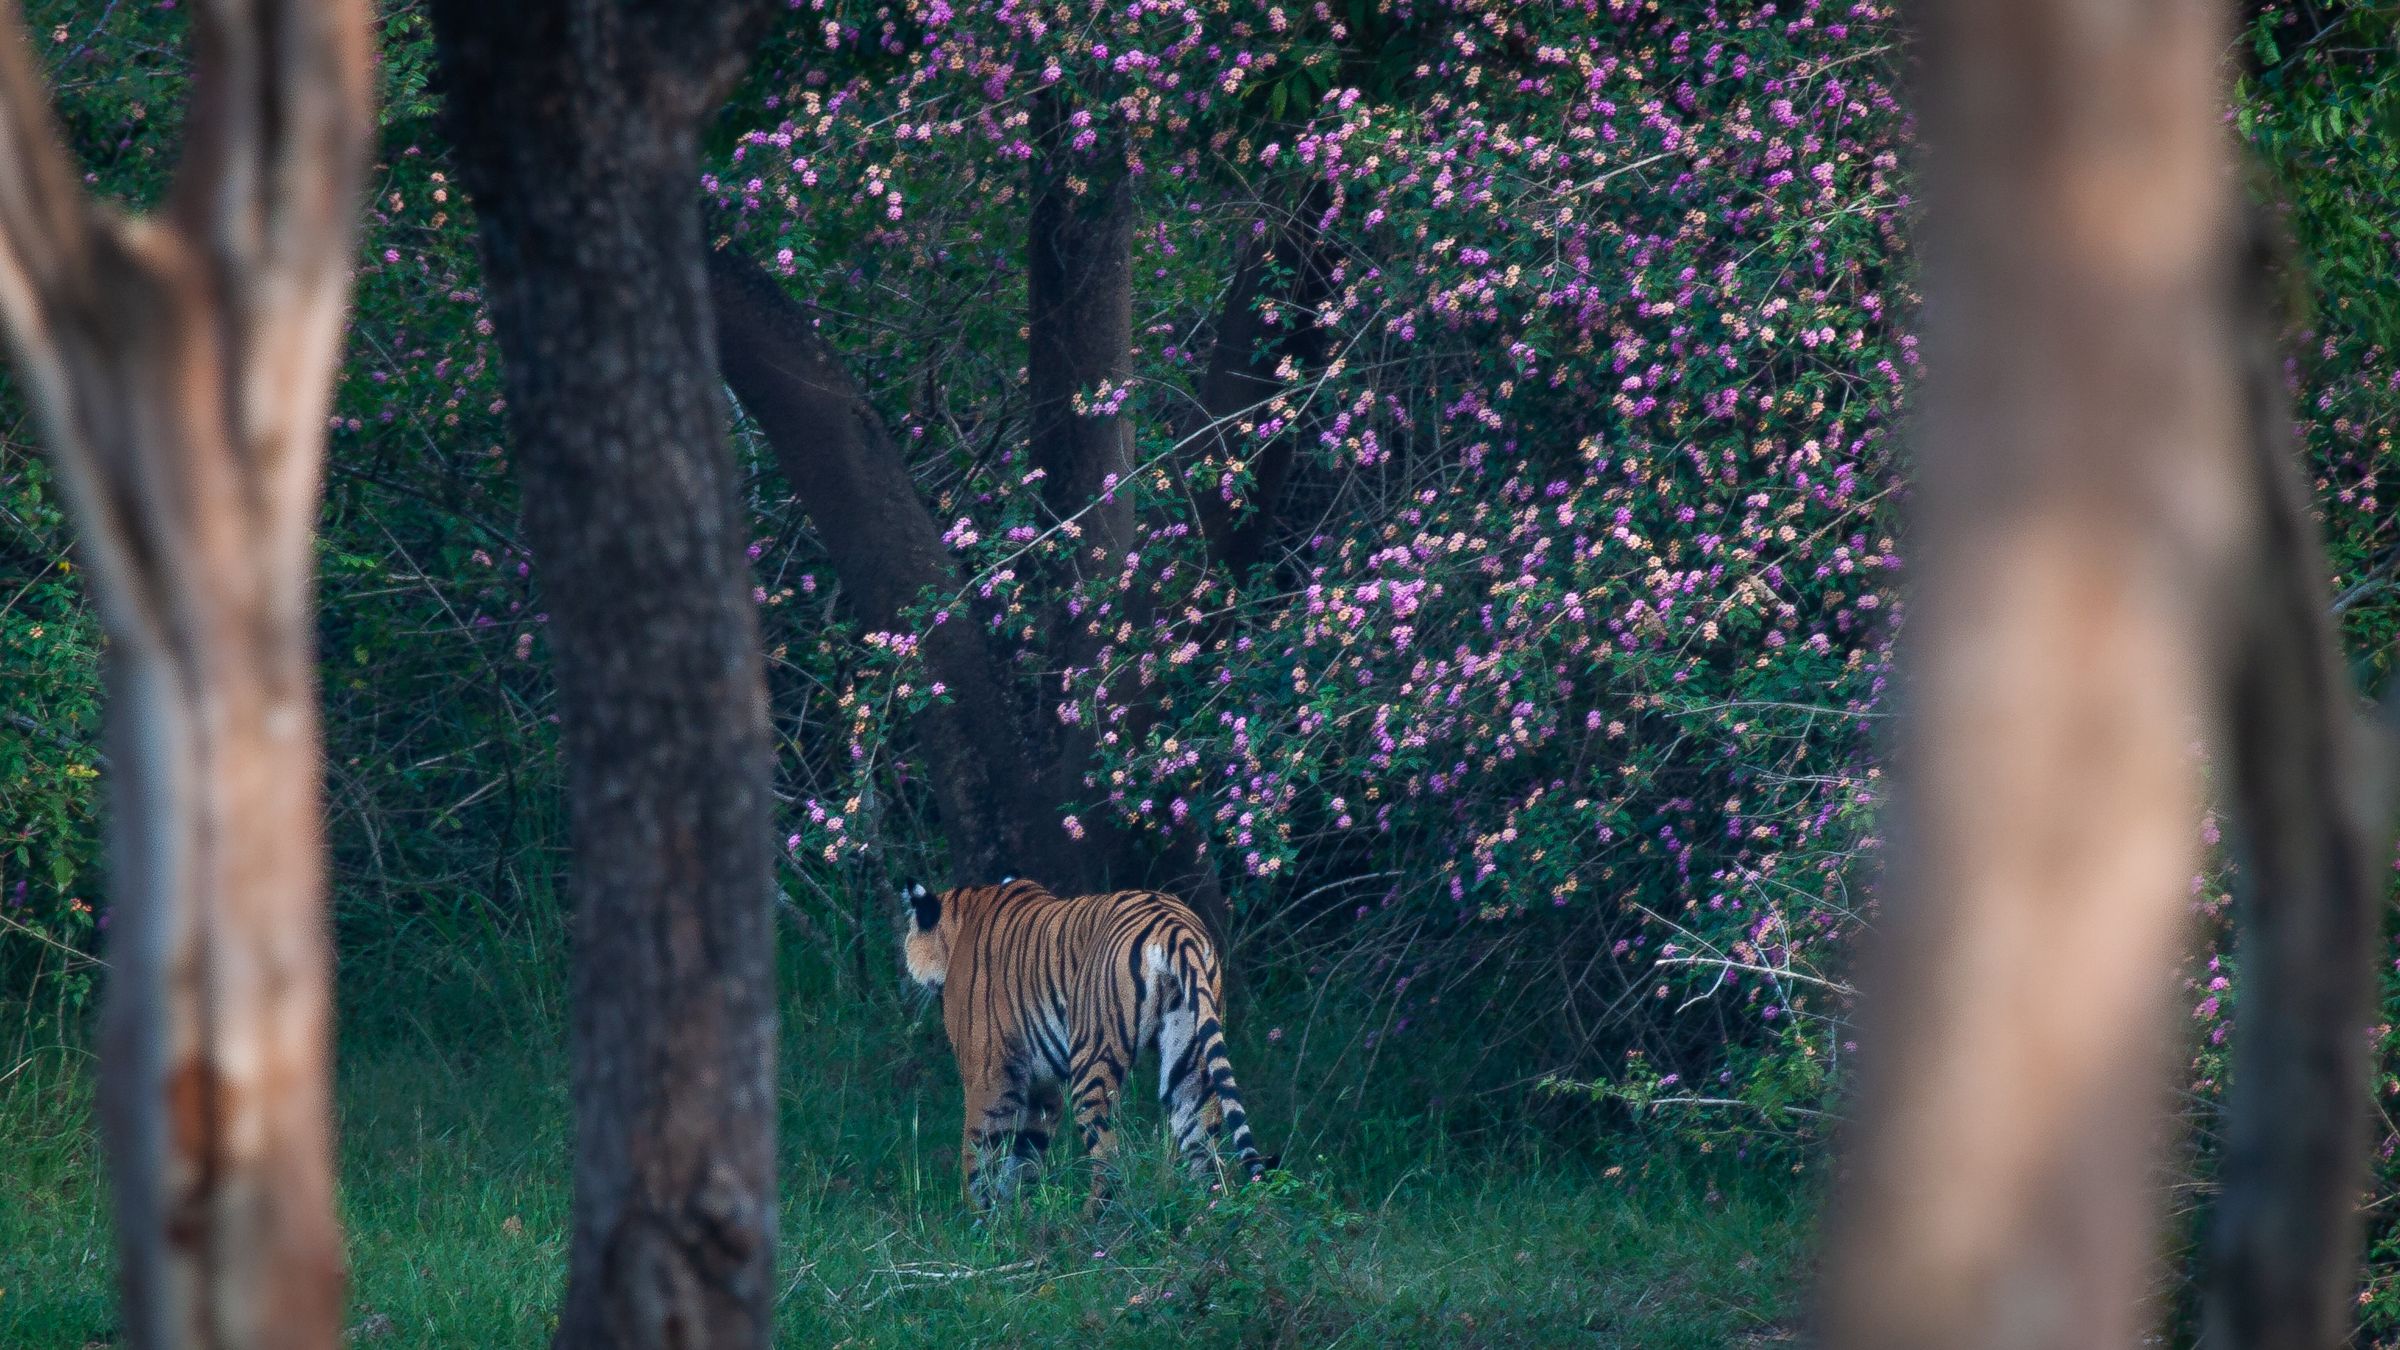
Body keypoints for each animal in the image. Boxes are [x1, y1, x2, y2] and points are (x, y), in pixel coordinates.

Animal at [899, 876, 1272, 1211]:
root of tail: (1174, 925)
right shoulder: (1042, 1086)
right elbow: (1025, 1156)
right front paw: (1017, 1218)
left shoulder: (988, 1076)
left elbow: (978, 1151)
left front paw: (981, 1221)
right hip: (1189, 1057)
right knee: (1203, 1145)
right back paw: (1208, 1214)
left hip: (1092, 1059)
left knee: (1108, 1156)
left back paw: (1091, 1219)